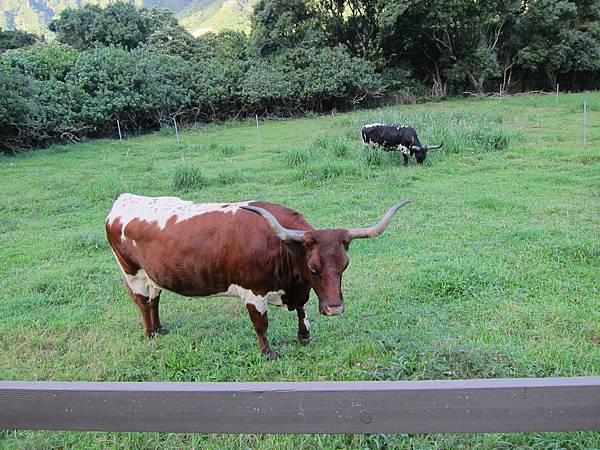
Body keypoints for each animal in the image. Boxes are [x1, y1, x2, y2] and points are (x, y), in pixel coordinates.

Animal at [105, 193, 410, 358]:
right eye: (314, 267)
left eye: (345, 265)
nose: (335, 309)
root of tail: (123, 202)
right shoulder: (253, 292)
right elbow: (261, 324)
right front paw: (268, 353)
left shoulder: (298, 290)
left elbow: (302, 312)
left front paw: (304, 337)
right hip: (133, 274)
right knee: (143, 304)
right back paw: (150, 335)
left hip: (153, 276)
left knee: (155, 301)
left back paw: (160, 329)